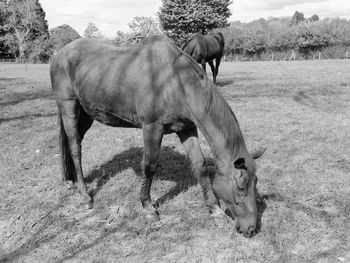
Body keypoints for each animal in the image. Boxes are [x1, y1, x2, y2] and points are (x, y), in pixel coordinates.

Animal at [50, 37, 266, 239]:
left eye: (255, 183)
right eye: (240, 187)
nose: (251, 228)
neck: (174, 81)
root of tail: (60, 54)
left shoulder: (187, 129)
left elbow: (201, 166)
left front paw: (215, 211)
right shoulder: (152, 127)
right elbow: (150, 166)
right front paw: (148, 207)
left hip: (86, 114)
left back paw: (72, 181)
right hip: (68, 106)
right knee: (75, 148)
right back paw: (85, 195)